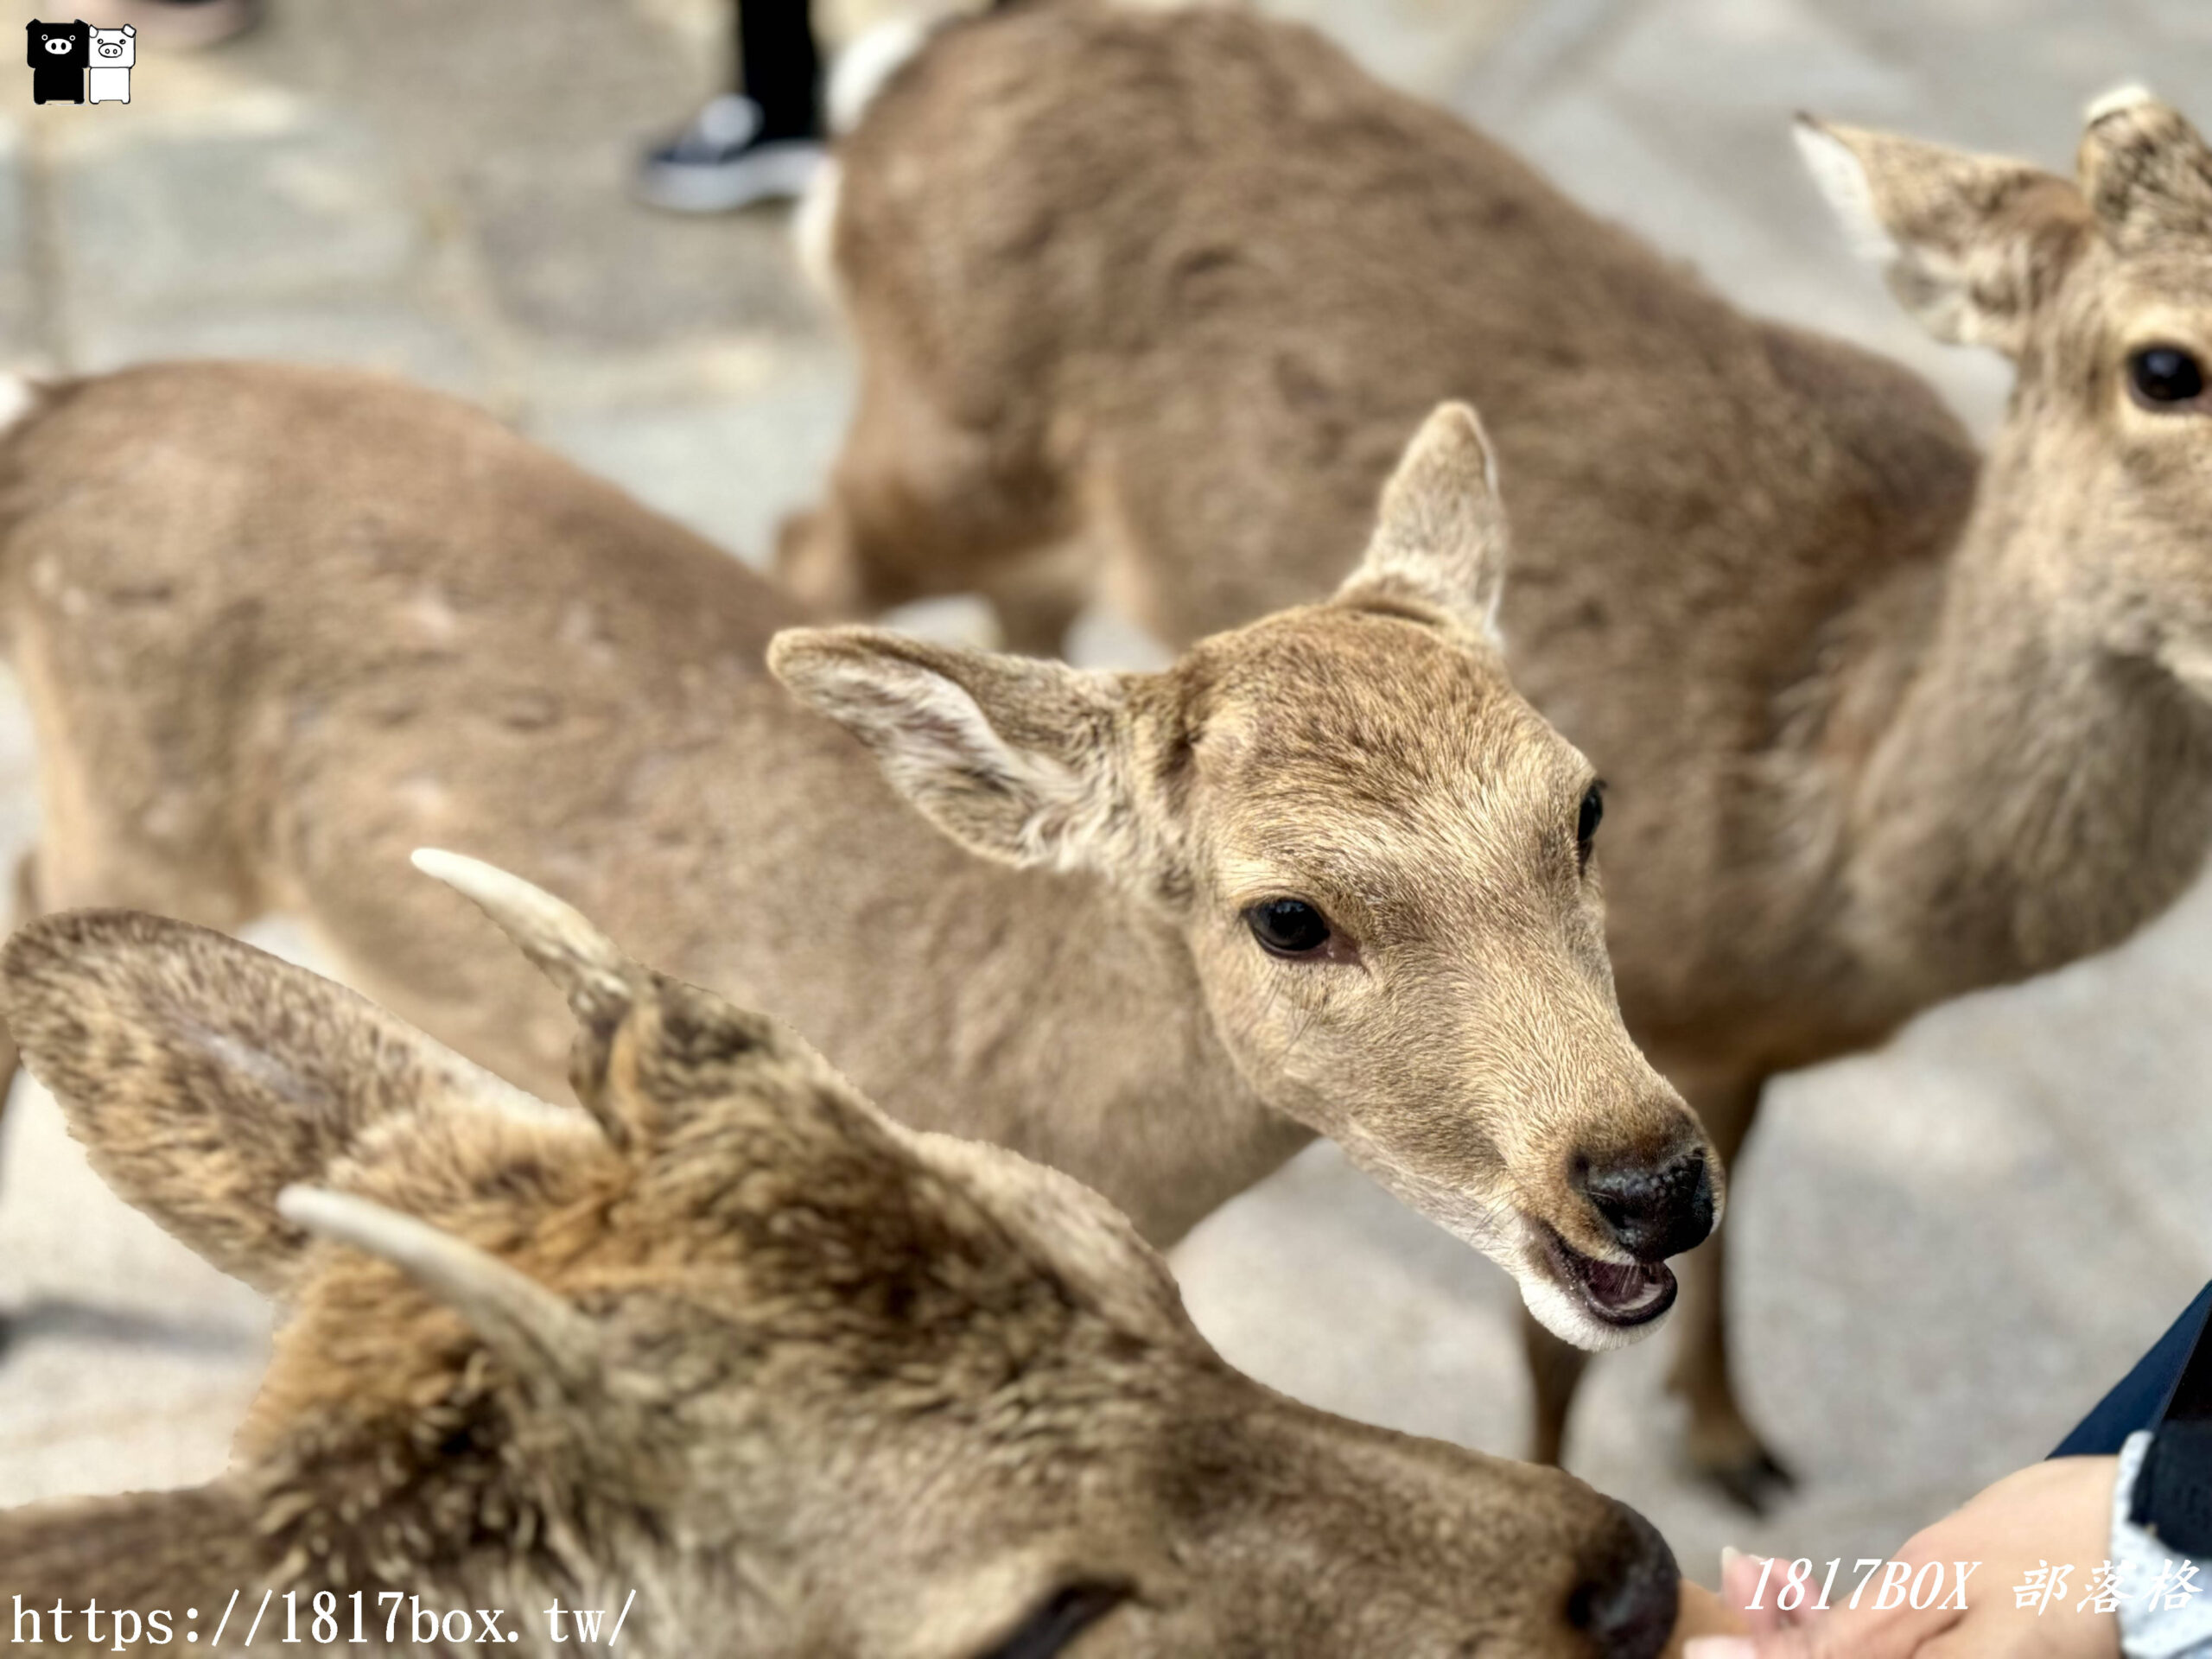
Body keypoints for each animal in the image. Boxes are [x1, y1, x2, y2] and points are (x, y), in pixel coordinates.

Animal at [791, 0, 2212, 1522]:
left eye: (1593, 814)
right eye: (2163, 367)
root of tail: (907, 66)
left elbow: (1735, 1209)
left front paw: (1732, 1434)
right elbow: (1556, 1335)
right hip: (935, 449)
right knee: (804, 544)